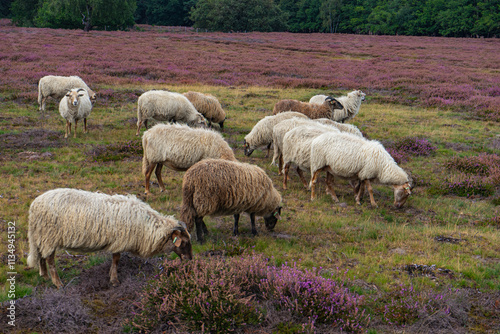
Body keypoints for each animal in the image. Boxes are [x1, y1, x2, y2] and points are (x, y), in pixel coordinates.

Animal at [26, 189, 193, 288]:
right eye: (184, 242)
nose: (190, 260)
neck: (147, 226)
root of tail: (34, 205)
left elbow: (115, 259)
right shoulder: (120, 241)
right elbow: (116, 259)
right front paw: (114, 280)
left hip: (41, 236)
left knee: (40, 255)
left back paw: (44, 275)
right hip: (49, 236)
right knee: (49, 259)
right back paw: (58, 283)